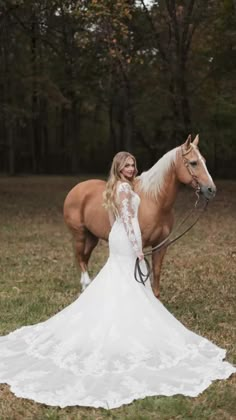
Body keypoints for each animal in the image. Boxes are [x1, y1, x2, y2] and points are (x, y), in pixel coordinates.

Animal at [63, 134, 217, 296]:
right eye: (193, 163)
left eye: (204, 161)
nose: (211, 190)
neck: (155, 201)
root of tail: (76, 189)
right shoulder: (140, 248)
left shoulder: (161, 245)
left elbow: (156, 275)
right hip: (79, 235)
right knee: (80, 258)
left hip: (92, 237)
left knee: (84, 258)